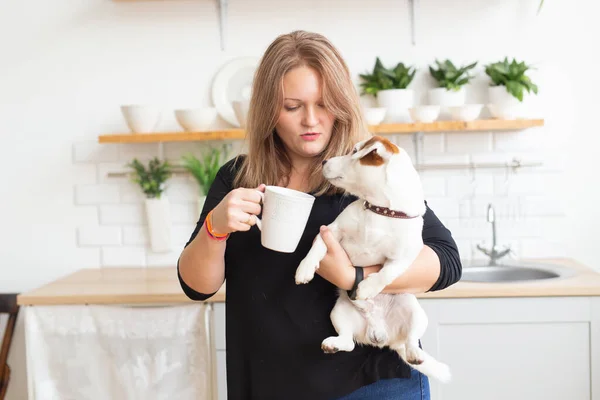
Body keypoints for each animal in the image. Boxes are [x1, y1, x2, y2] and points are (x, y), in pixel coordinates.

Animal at [296, 136, 450, 382]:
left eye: (353, 151)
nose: (324, 161)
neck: (380, 210)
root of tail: (382, 336)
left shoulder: (405, 256)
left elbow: (387, 272)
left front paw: (367, 287)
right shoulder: (332, 231)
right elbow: (317, 247)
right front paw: (305, 268)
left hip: (415, 312)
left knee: (411, 340)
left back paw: (415, 353)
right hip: (338, 312)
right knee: (348, 342)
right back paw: (333, 344)